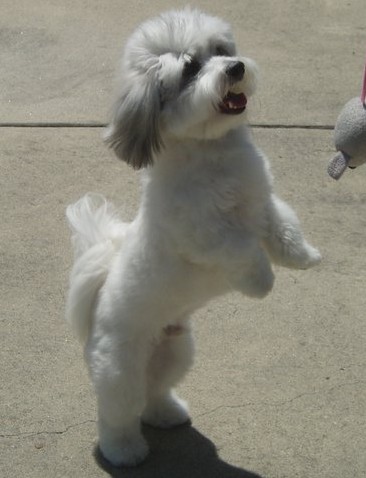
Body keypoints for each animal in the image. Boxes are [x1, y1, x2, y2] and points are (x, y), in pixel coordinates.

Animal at [65, 7, 320, 466]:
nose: (235, 68)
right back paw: (124, 451)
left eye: (220, 50)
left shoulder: (262, 201)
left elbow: (283, 225)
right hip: (119, 369)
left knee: (155, 393)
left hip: (176, 352)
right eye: (190, 68)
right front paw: (262, 281)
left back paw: (167, 413)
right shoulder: (202, 233)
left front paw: (303, 255)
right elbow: (242, 248)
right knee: (119, 411)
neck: (212, 152)